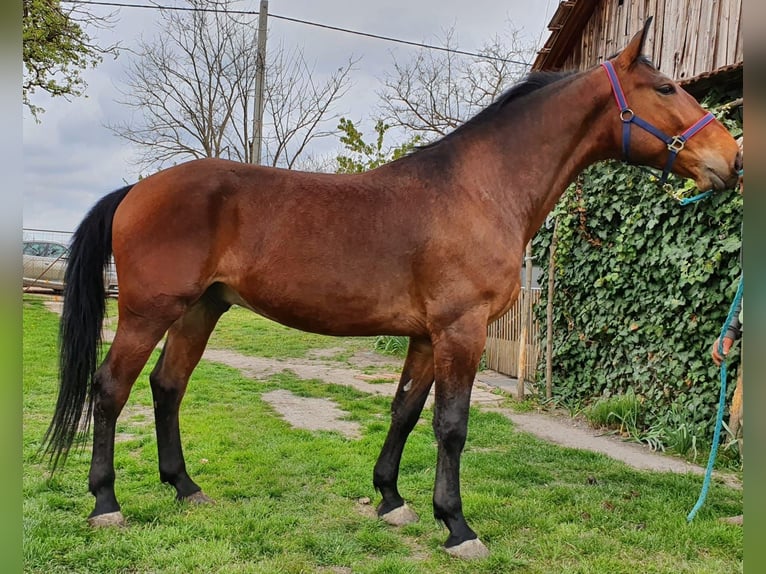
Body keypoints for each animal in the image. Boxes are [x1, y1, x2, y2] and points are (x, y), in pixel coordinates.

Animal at [43, 18, 740, 559]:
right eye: (666, 87)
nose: (731, 158)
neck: (479, 189)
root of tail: (137, 189)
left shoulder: (426, 337)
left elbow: (405, 411)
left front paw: (391, 499)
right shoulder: (461, 330)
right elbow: (452, 425)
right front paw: (457, 526)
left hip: (201, 311)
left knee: (167, 387)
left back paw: (186, 488)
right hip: (148, 312)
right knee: (110, 389)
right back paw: (106, 503)